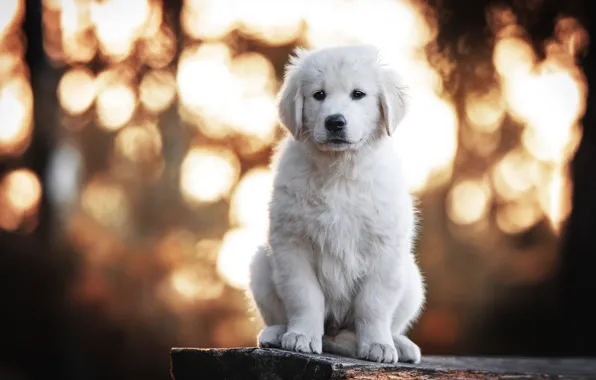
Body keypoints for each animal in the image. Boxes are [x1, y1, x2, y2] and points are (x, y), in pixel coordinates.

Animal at [247, 44, 424, 366]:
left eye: (358, 94)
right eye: (319, 95)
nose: (335, 122)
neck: (339, 171)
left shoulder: (385, 249)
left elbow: (373, 304)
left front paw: (377, 344)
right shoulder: (293, 245)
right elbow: (305, 296)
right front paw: (301, 336)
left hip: (412, 278)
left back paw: (398, 343)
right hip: (260, 264)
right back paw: (277, 333)